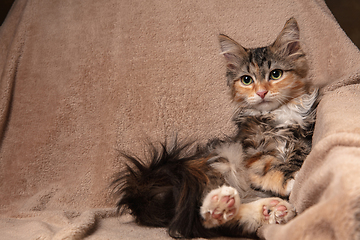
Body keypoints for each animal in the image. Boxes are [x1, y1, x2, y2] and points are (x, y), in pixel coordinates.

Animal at [113, 17, 318, 238]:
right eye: (247, 80)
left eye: (275, 74)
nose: (261, 92)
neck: (278, 116)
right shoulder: (252, 151)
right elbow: (270, 166)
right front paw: (292, 178)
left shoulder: (303, 138)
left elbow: (297, 156)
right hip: (223, 160)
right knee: (201, 219)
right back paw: (222, 206)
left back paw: (266, 209)